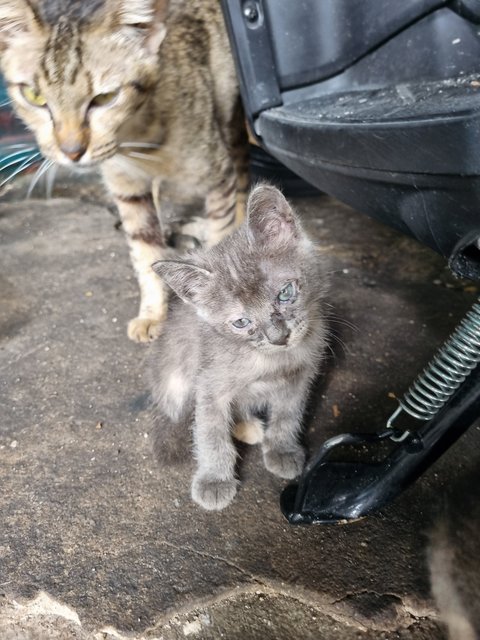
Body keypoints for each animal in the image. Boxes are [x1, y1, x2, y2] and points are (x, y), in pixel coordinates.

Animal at [0, 0, 248, 340]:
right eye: (34, 96)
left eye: (105, 98)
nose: (71, 151)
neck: (136, 135)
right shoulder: (127, 190)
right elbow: (144, 253)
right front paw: (153, 313)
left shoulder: (218, 176)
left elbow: (221, 234)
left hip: (232, 125)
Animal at [149, 185, 330, 510]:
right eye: (241, 322)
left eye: (285, 293)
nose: (278, 337)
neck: (269, 361)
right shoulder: (210, 385)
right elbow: (210, 432)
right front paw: (213, 480)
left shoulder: (301, 376)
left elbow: (288, 414)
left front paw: (282, 449)